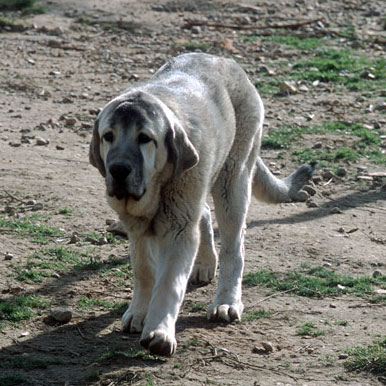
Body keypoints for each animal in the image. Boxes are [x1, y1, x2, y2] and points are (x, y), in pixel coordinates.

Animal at [89, 53, 316, 356]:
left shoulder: (178, 228)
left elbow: (169, 282)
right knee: (204, 214)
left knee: (234, 246)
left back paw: (226, 302)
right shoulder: (138, 227)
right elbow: (144, 270)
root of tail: (225, 60)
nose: (118, 169)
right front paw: (138, 312)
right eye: (108, 136)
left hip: (233, 180)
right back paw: (205, 263)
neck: (156, 186)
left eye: (145, 138)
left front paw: (160, 332)